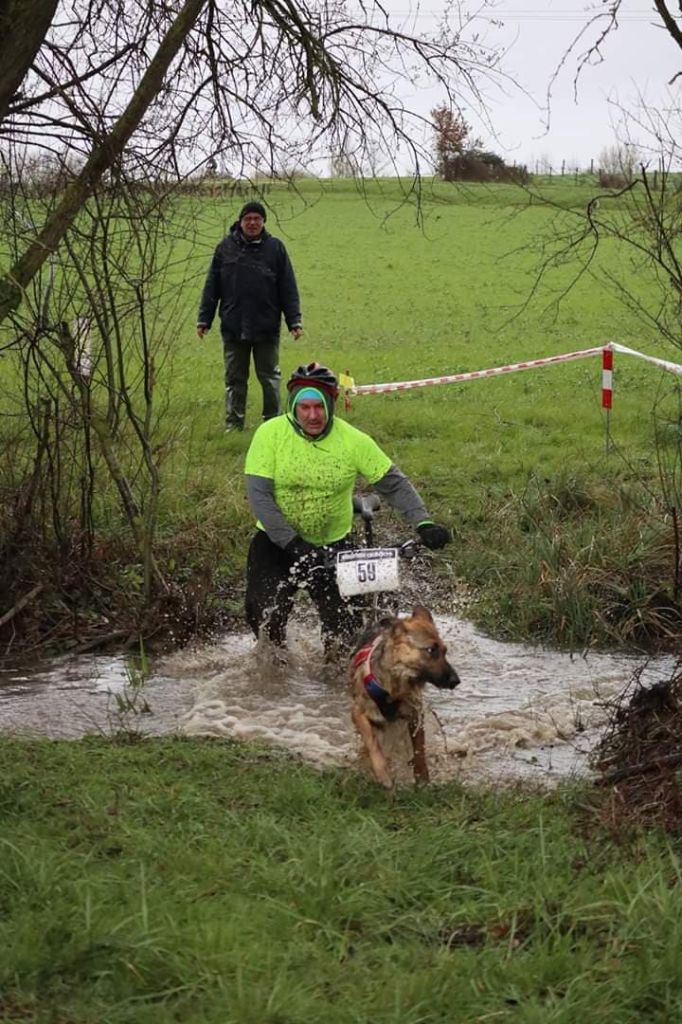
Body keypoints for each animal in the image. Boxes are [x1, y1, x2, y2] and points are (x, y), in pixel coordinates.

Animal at [350, 602, 456, 786]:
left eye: (444, 651)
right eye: (431, 650)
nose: (456, 681)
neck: (395, 684)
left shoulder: (415, 714)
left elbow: (419, 750)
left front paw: (422, 779)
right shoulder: (358, 712)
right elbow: (371, 741)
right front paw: (382, 773)